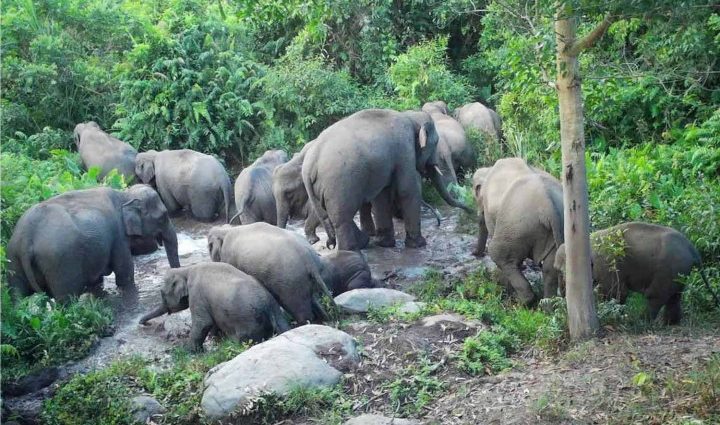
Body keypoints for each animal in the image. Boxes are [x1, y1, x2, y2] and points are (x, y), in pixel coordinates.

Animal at [6, 184, 180, 300]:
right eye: (164, 217)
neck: (124, 195)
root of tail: (26, 238)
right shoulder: (118, 235)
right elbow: (124, 273)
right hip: (59, 263)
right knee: (65, 299)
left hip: (13, 259)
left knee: (17, 295)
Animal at [139, 262, 288, 352]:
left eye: (162, 293)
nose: (143, 323)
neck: (186, 269)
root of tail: (269, 303)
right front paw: (214, 339)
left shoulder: (197, 293)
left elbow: (203, 323)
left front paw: (188, 351)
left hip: (249, 321)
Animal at [205, 220, 334, 322]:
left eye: (209, 246)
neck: (226, 230)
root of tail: (307, 258)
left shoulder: (229, 258)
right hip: (305, 279)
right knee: (311, 299)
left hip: (290, 281)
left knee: (298, 308)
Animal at [300, 107, 472, 252]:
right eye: (435, 143)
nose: (471, 210)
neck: (409, 115)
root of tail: (309, 164)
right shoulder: (404, 150)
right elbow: (407, 190)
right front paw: (419, 245)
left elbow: (381, 195)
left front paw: (384, 244)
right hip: (338, 184)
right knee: (342, 219)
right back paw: (351, 250)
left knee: (333, 216)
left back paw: (361, 242)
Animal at [556, 220, 716, 322]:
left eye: (562, 272)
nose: (560, 295)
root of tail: (692, 248)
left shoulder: (608, 265)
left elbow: (616, 293)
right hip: (680, 273)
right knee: (675, 297)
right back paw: (670, 323)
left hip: (670, 269)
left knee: (655, 296)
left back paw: (640, 322)